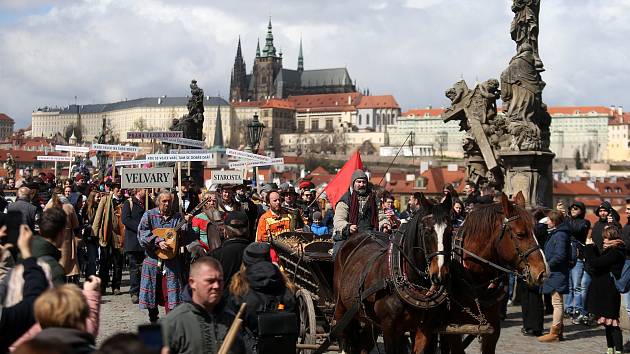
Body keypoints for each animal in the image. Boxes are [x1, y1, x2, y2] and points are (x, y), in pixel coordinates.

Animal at [336, 196, 454, 354]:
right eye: (427, 231)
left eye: (451, 231)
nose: (440, 274)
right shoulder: (388, 326)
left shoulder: (424, 328)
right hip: (342, 307)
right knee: (344, 337)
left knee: (363, 345)